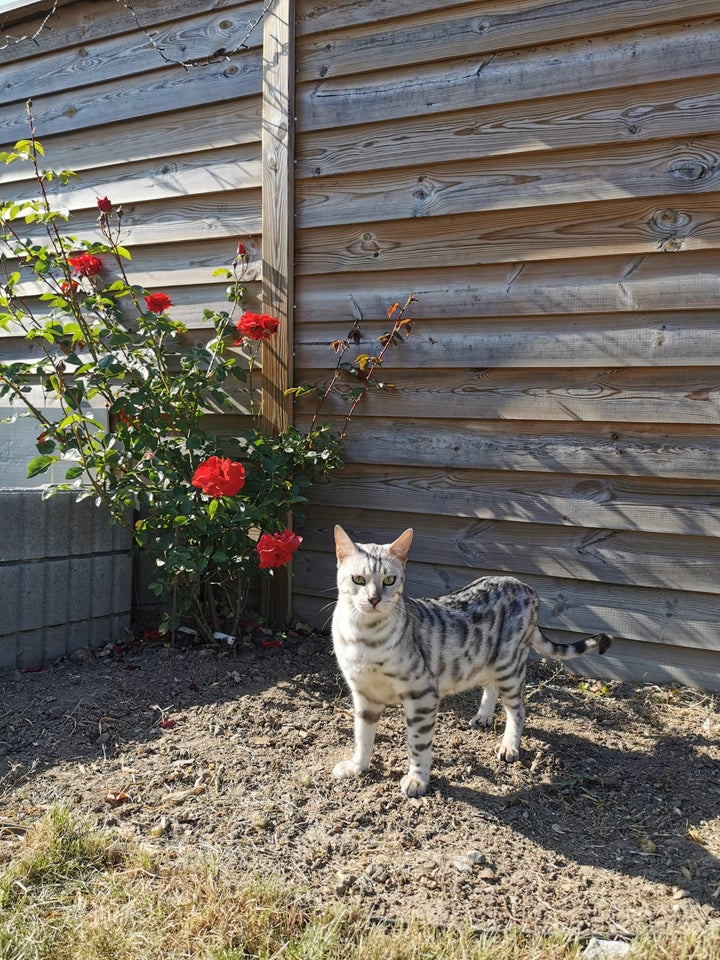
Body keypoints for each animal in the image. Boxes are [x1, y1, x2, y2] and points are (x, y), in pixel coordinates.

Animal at [330, 524, 612, 796]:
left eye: (389, 580)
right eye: (358, 579)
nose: (374, 599)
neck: (363, 637)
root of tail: (526, 586)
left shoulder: (422, 694)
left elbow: (418, 744)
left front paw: (417, 780)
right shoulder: (363, 694)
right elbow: (362, 736)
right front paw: (356, 766)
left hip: (509, 665)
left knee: (518, 709)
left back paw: (509, 745)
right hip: (485, 659)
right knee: (490, 686)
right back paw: (484, 716)